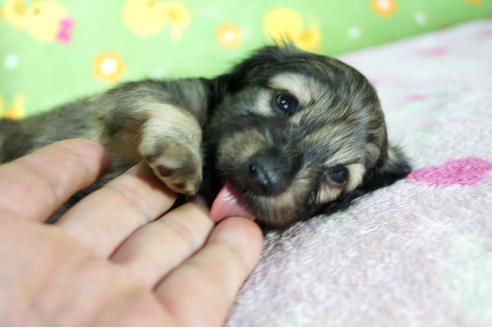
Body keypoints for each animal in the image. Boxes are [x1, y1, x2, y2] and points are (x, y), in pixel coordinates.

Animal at [0, 44, 410, 228]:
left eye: (337, 175)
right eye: (285, 102)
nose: (265, 176)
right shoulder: (132, 102)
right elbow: (179, 114)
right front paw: (181, 156)